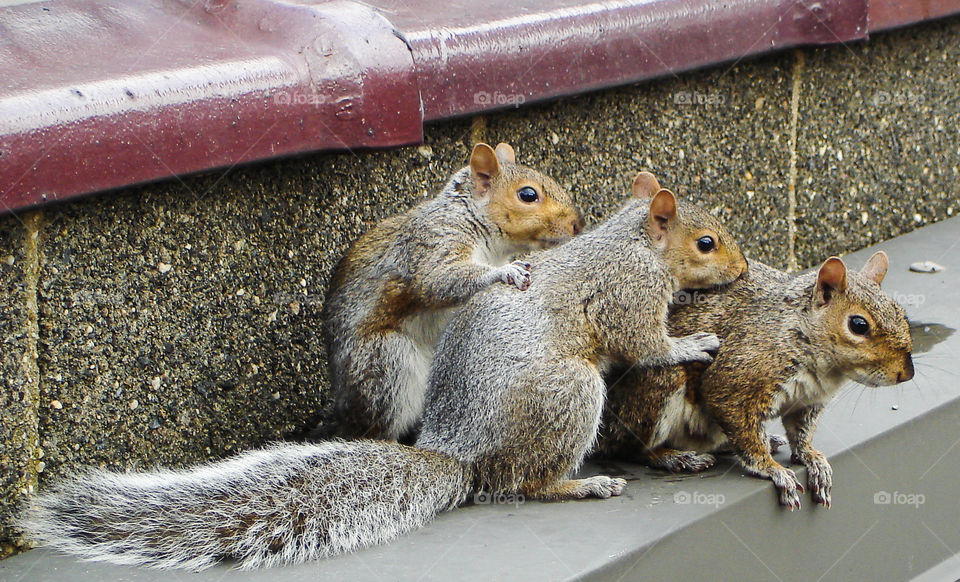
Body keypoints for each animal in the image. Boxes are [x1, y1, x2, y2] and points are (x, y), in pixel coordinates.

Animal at [320, 143, 584, 442]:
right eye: (528, 195)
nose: (579, 223)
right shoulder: (435, 241)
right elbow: (437, 279)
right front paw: (506, 272)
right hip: (387, 362)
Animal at [600, 253, 916, 508]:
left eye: (901, 312)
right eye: (858, 325)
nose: (907, 373)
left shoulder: (807, 401)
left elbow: (801, 433)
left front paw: (812, 458)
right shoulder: (737, 381)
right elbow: (745, 432)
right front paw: (772, 469)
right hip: (657, 389)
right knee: (631, 448)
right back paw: (675, 457)